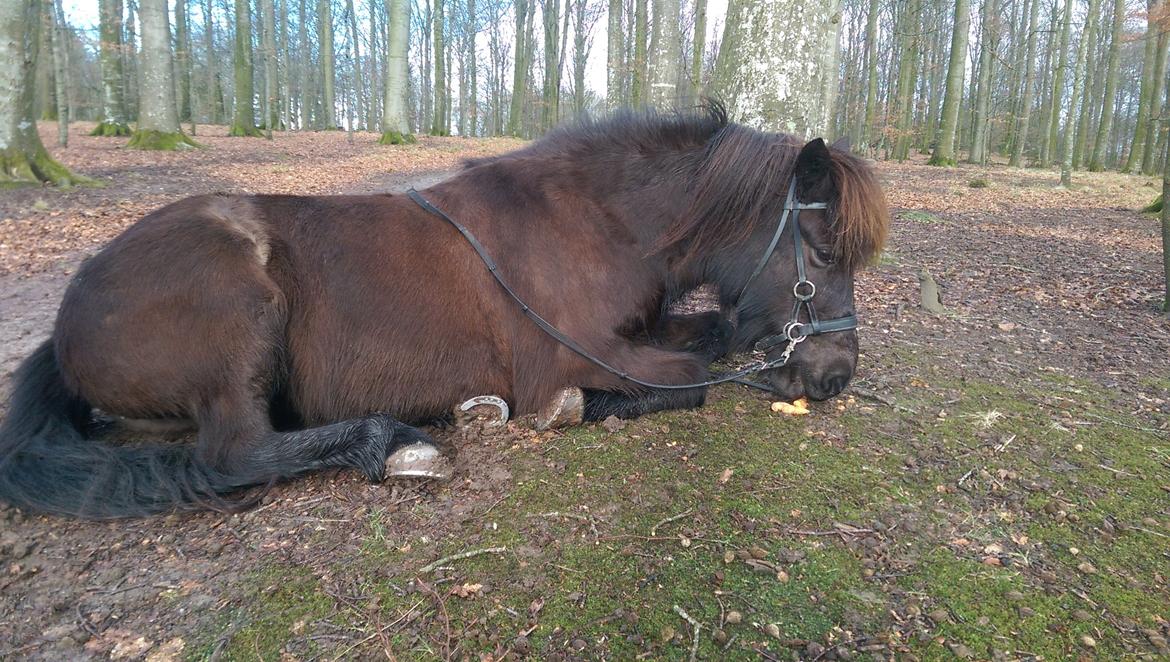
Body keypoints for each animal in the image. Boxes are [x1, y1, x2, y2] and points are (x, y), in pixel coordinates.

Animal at [0, 105, 879, 519]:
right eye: (821, 251)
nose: (835, 374)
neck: (595, 220)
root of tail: (73, 311)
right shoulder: (575, 352)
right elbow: (690, 377)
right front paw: (572, 408)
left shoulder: (644, 328)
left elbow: (713, 334)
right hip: (237, 310)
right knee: (233, 453)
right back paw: (394, 445)